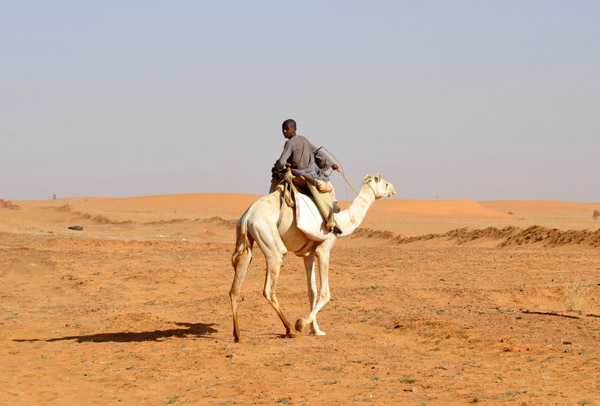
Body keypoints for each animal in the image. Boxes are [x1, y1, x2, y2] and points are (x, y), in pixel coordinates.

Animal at [229, 173, 394, 340]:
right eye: (385, 183)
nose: (393, 189)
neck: (342, 221)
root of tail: (247, 216)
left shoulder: (308, 254)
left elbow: (312, 291)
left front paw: (316, 330)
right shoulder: (323, 250)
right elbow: (325, 293)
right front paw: (301, 323)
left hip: (245, 240)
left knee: (235, 288)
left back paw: (238, 335)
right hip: (269, 241)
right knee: (269, 287)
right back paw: (290, 329)